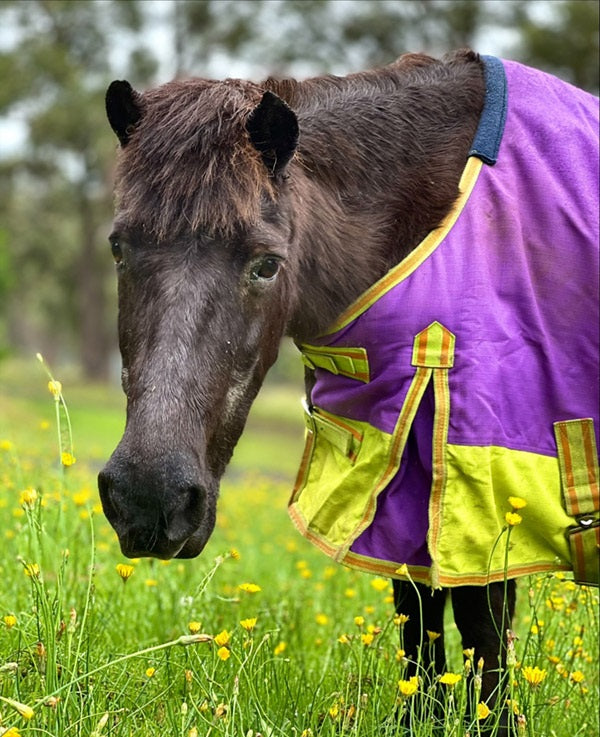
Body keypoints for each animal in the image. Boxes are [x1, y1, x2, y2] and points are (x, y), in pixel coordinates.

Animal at [99, 50, 600, 732]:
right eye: (119, 248)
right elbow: (418, 611)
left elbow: (483, 630)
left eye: (266, 263)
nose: (150, 500)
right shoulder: (403, 465)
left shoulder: (487, 487)